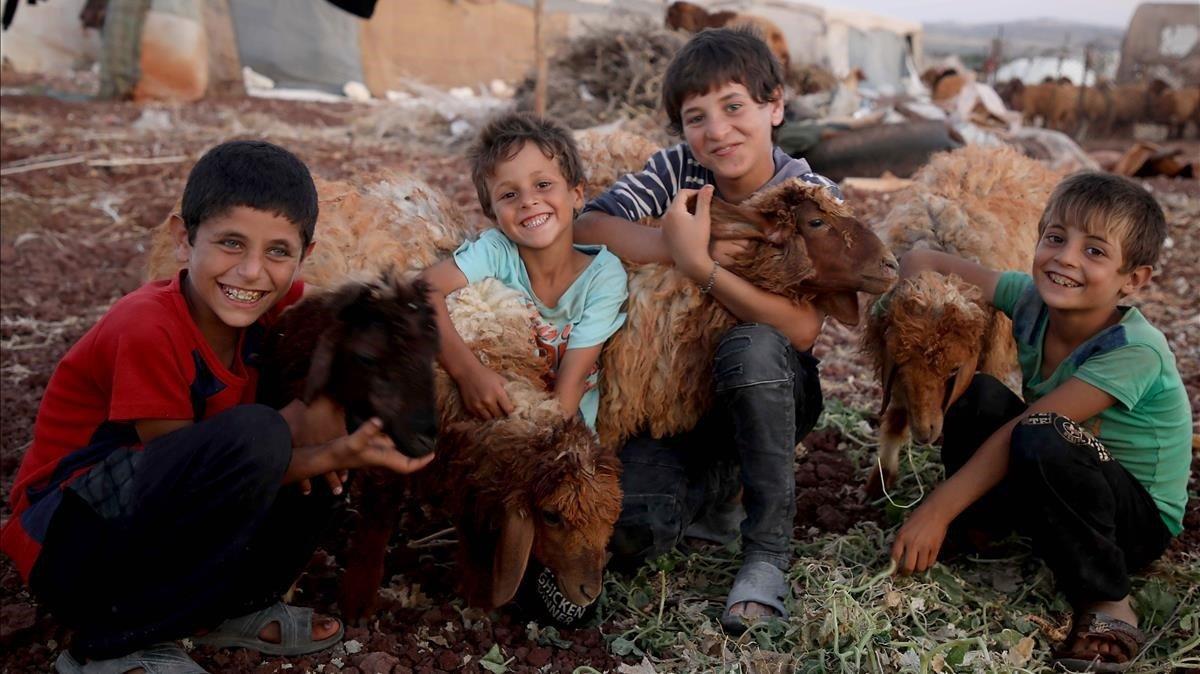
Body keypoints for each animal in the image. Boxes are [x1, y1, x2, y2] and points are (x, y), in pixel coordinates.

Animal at [864, 145, 1060, 494]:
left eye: (955, 369)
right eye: (902, 367)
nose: (925, 434)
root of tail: (1000, 150)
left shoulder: (990, 354)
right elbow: (897, 415)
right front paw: (881, 479)